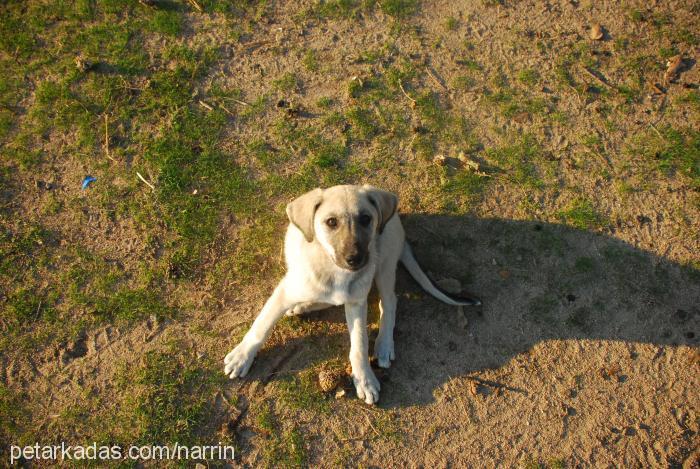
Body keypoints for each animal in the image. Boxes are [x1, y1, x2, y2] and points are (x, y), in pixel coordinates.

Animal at [224, 183, 482, 402]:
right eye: (331, 222)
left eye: (366, 219)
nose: (355, 259)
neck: (333, 268)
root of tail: (398, 223)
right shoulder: (285, 291)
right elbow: (261, 326)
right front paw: (242, 356)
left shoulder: (357, 303)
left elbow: (359, 344)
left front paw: (365, 379)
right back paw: (302, 306)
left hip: (384, 263)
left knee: (389, 302)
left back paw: (384, 343)